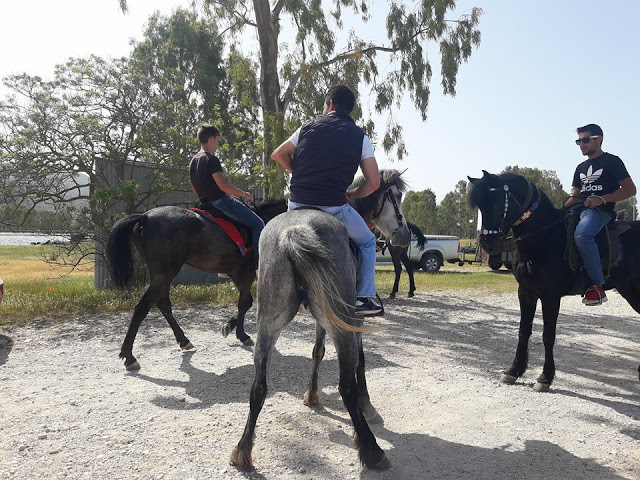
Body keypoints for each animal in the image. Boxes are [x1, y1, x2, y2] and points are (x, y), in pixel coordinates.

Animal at [107, 199, 288, 372]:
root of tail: (145, 217)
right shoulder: (246, 273)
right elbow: (244, 303)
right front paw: (241, 334)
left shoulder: (237, 274)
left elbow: (247, 302)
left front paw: (229, 326)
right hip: (164, 273)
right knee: (142, 308)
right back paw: (129, 356)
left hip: (162, 275)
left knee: (163, 305)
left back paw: (183, 340)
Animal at [231, 170, 410, 472]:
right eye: (396, 196)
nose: (405, 234)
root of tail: (294, 233)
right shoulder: (354, 322)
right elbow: (361, 362)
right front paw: (368, 407)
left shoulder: (321, 319)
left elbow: (317, 351)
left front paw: (312, 395)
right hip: (341, 324)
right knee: (346, 386)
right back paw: (372, 451)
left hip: (268, 323)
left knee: (258, 387)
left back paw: (242, 452)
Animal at [464, 171, 640, 392]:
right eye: (480, 205)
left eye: (496, 202)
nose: (489, 244)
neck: (544, 237)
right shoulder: (526, 293)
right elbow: (524, 331)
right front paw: (514, 370)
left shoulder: (550, 296)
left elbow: (548, 336)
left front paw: (545, 377)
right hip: (630, 289)